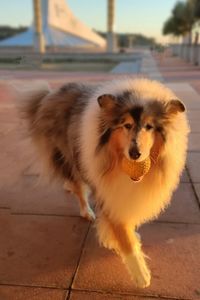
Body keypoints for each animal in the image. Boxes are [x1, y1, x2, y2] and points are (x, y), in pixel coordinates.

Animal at [21, 78, 189, 288]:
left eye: (149, 126)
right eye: (126, 125)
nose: (135, 154)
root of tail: (50, 95)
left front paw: (133, 237)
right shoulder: (109, 195)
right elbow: (124, 238)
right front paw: (141, 275)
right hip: (70, 158)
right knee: (79, 188)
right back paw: (87, 212)